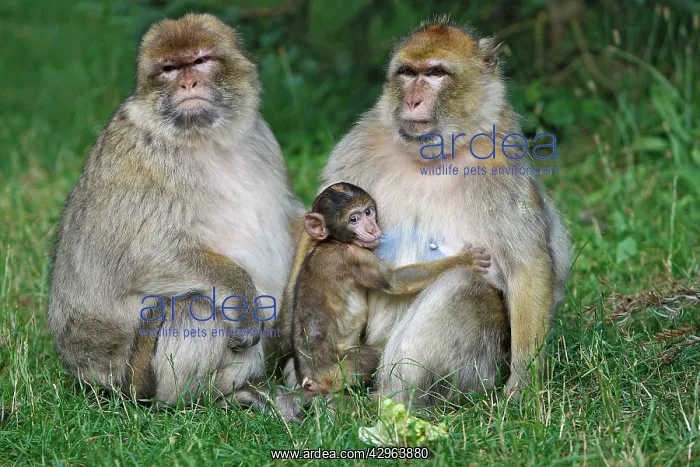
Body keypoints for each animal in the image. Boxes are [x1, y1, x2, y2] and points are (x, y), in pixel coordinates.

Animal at [48, 13, 302, 405]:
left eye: (200, 61)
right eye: (169, 68)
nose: (187, 82)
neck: (204, 138)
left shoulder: (264, 138)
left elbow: (291, 216)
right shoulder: (141, 159)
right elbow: (140, 256)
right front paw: (244, 298)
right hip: (136, 376)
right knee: (197, 306)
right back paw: (212, 396)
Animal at [321, 19, 572, 405]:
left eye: (436, 73)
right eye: (408, 73)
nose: (413, 100)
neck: (434, 155)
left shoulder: (502, 169)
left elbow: (527, 267)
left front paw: (523, 388)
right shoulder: (357, 150)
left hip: (476, 374)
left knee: (462, 283)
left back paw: (392, 400)